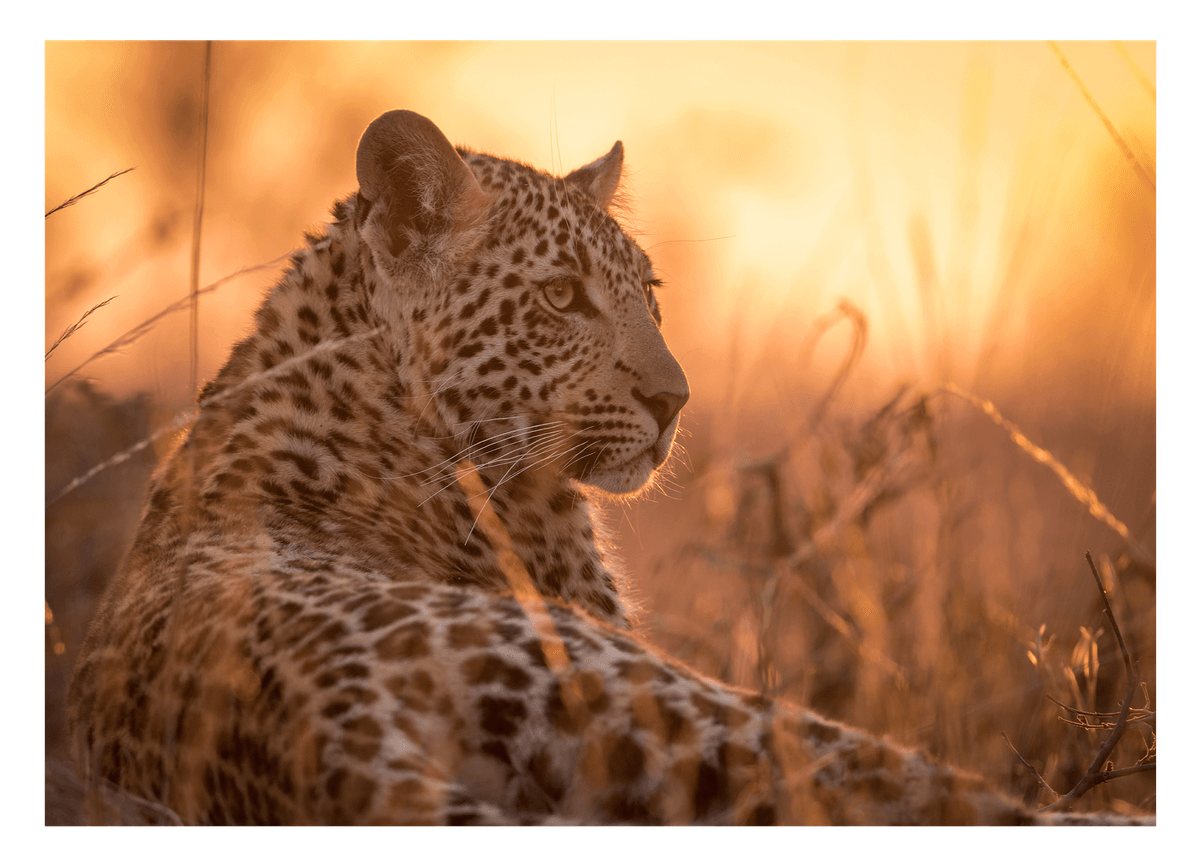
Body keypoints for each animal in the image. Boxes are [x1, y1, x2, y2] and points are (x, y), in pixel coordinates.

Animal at [66, 110, 1150, 826]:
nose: (676, 401)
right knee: (935, 791)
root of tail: (326, 727)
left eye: (649, 292)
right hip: (663, 694)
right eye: (561, 296)